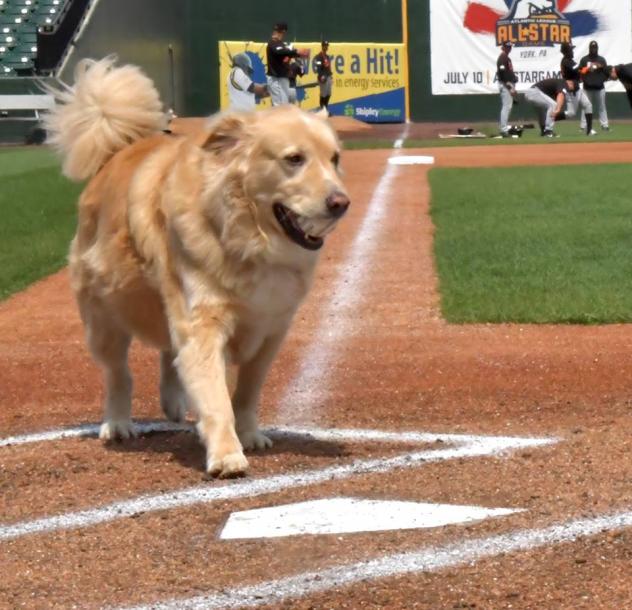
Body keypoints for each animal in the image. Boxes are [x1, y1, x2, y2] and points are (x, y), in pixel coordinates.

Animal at [44, 58, 350, 476]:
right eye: (293, 159)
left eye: (334, 159)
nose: (341, 203)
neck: (246, 238)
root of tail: (115, 152)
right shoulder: (203, 324)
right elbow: (216, 396)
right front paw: (226, 454)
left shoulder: (271, 330)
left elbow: (246, 391)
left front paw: (248, 434)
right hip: (105, 317)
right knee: (119, 374)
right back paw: (119, 423)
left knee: (168, 354)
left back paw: (172, 401)